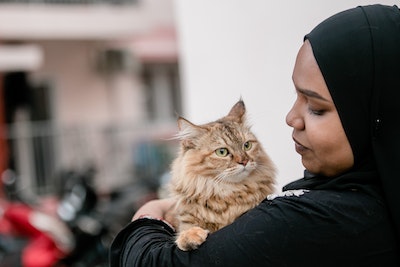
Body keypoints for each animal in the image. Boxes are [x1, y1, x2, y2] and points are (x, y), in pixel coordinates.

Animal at [169, 100, 276, 251]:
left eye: (247, 145)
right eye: (222, 152)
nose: (244, 161)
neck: (225, 191)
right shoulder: (185, 218)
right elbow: (186, 229)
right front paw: (190, 236)